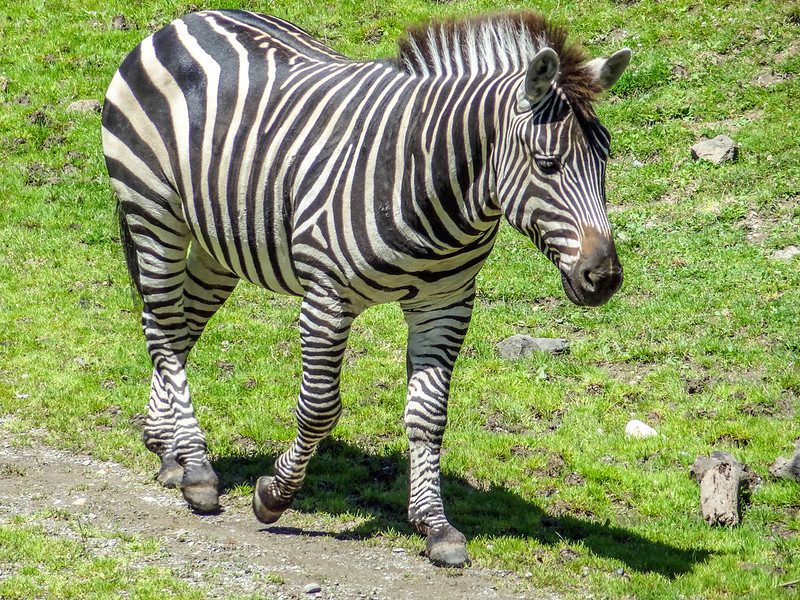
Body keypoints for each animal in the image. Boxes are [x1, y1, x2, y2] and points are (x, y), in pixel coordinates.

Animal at [101, 10, 632, 568]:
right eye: (548, 164)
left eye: (606, 159)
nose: (604, 278)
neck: (428, 179)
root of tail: (188, 19)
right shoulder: (327, 298)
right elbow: (319, 408)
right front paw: (274, 495)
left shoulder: (445, 305)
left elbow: (428, 416)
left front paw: (435, 526)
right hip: (153, 213)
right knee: (163, 330)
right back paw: (198, 469)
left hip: (220, 239)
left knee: (179, 329)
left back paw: (169, 450)